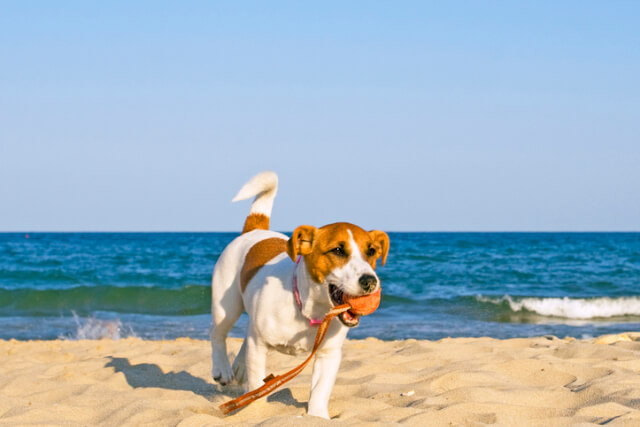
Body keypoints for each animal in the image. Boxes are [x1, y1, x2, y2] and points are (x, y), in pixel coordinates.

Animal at [210, 171, 390, 418]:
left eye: (371, 251)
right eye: (337, 250)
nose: (370, 281)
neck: (309, 310)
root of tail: (254, 230)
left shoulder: (328, 355)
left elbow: (320, 391)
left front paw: (318, 416)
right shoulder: (259, 347)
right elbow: (257, 386)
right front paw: (256, 412)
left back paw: (238, 367)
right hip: (227, 306)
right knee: (218, 334)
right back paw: (223, 368)